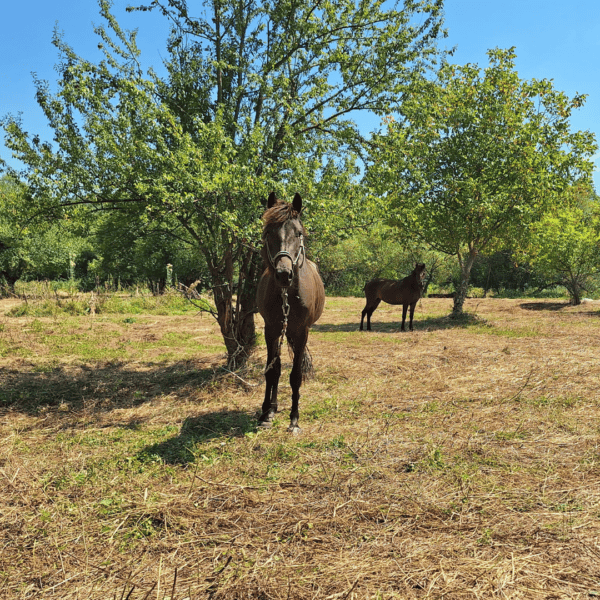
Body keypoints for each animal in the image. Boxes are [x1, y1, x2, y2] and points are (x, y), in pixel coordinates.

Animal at [256, 192, 326, 432]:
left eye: (299, 233)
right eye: (268, 232)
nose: (283, 275)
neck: (287, 294)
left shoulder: (302, 332)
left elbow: (295, 375)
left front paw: (294, 418)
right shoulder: (271, 330)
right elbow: (272, 371)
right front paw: (266, 412)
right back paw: (273, 407)